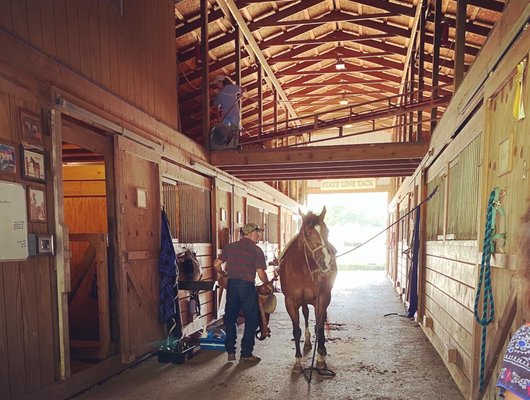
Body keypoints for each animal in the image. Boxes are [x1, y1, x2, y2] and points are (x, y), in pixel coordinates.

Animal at [278, 206, 336, 372]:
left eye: (327, 231)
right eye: (307, 233)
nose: (326, 262)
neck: (302, 269)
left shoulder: (321, 298)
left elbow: (319, 326)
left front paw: (320, 358)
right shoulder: (290, 301)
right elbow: (296, 330)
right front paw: (297, 362)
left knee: (321, 319)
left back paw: (322, 348)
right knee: (305, 314)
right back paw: (309, 342)